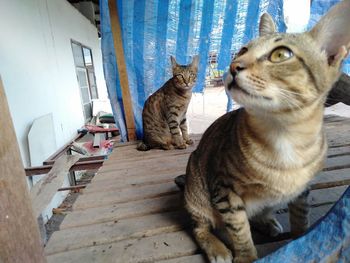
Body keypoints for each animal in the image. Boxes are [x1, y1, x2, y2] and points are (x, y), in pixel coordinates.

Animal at [183, 1, 350, 262]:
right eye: (242, 50)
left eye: (280, 54)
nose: (233, 66)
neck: (284, 135)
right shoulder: (224, 191)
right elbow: (239, 230)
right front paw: (246, 256)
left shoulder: (302, 192)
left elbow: (300, 220)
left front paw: (299, 244)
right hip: (197, 191)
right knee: (201, 227)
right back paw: (217, 246)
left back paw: (267, 221)